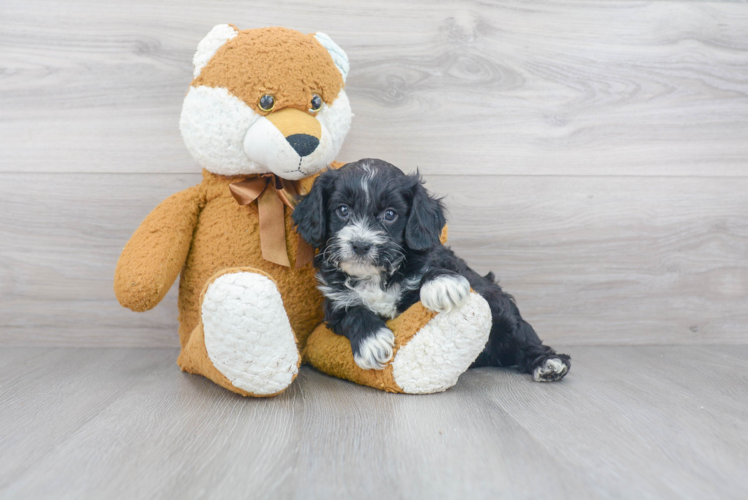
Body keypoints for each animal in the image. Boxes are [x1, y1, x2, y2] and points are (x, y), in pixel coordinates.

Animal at [290, 158, 568, 380]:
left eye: (390, 214)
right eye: (343, 210)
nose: (360, 244)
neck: (375, 276)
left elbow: (432, 266)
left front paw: (442, 284)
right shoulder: (334, 301)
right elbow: (353, 311)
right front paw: (373, 341)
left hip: (500, 307)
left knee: (521, 334)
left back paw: (548, 363)